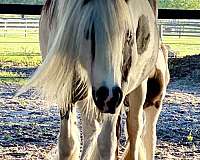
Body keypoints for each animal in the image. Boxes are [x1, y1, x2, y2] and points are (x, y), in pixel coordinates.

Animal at [18, 0, 170, 159]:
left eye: (128, 34)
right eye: (88, 31)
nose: (108, 96)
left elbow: (107, 143)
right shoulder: (67, 88)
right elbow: (68, 144)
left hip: (139, 89)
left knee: (135, 129)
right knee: (92, 130)